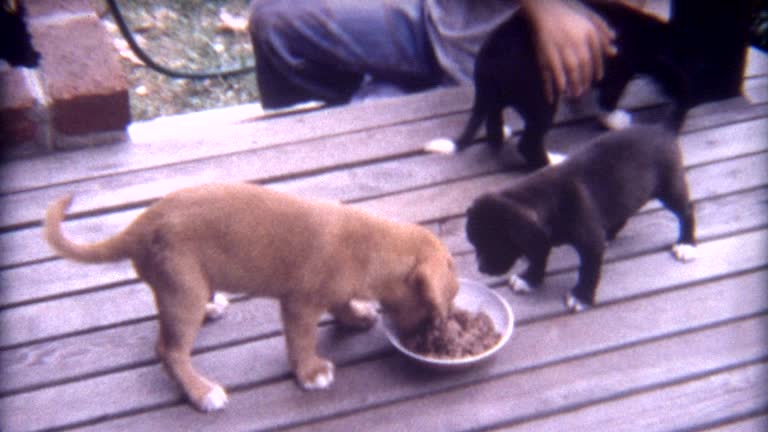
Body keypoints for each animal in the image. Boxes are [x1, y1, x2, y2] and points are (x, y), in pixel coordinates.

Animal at [43, 181, 456, 412]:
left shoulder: (333, 291)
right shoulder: (298, 305)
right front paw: (310, 374)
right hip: (183, 291)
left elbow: (341, 304)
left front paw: (357, 316)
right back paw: (201, 392)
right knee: (169, 351)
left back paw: (211, 309)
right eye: (437, 310)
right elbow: (302, 342)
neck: (370, 244)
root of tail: (140, 224)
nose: (432, 338)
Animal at [424, 1, 688, 169]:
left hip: (498, 97)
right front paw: (615, 121)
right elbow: (609, 99)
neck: (650, 34)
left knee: (492, 121)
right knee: (528, 146)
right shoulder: (618, 73)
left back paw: (501, 135)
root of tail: (486, 65)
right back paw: (554, 162)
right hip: (541, 100)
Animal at [464, 123, 700, 312]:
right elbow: (538, 257)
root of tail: (663, 128)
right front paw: (529, 279)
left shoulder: (590, 245)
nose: (481, 268)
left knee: (687, 211)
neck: (544, 198)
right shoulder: (539, 239)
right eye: (476, 244)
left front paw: (582, 297)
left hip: (669, 186)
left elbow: (589, 271)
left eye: (496, 245)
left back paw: (686, 243)